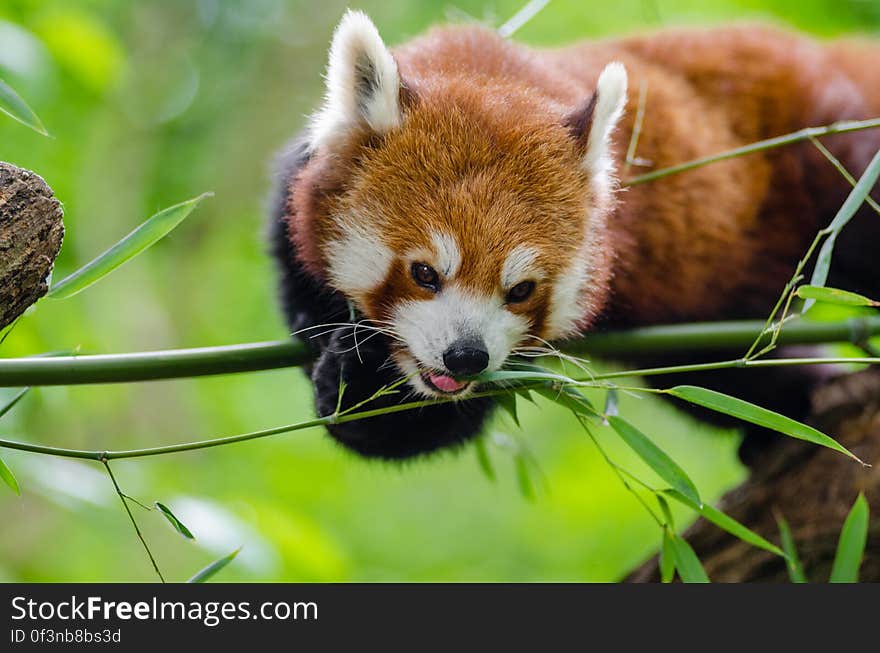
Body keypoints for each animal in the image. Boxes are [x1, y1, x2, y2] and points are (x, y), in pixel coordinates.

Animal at [270, 10, 880, 458]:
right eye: (424, 272)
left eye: (521, 289)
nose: (465, 356)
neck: (487, 68)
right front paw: (342, 351)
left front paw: (363, 383)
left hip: (828, 152)